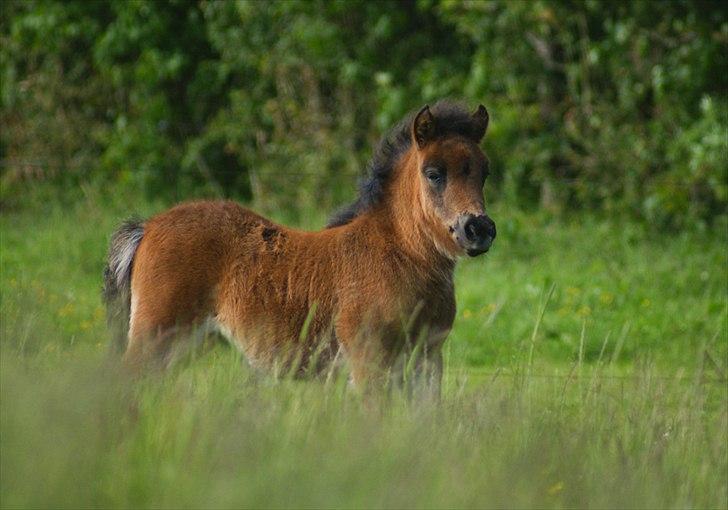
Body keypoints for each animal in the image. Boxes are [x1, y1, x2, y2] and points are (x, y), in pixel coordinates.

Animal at [102, 100, 494, 394]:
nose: (478, 229)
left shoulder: (427, 361)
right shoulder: (368, 361)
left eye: (484, 172)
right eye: (433, 173)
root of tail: (148, 226)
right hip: (154, 337)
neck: (398, 254)